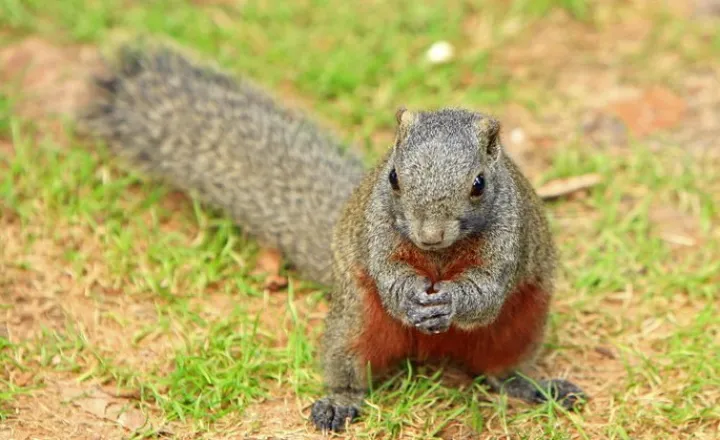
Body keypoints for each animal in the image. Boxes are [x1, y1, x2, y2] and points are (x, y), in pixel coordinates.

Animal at [77, 45, 587, 433]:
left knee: (502, 371)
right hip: (355, 322)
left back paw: (532, 386)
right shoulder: (375, 231)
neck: (439, 260)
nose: (429, 235)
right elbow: (388, 274)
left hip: (519, 327)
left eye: (479, 183)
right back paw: (339, 401)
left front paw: (452, 301)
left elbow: (485, 293)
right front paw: (408, 293)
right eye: (393, 177)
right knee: (350, 368)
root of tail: (432, 353)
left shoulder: (509, 241)